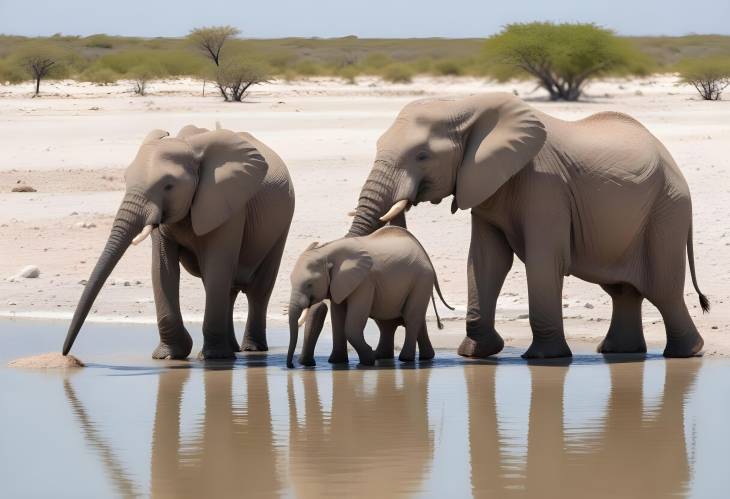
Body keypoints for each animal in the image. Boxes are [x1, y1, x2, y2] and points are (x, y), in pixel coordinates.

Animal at [60, 124, 292, 360]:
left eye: (169, 186)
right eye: (125, 180)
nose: (64, 353)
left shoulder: (227, 204)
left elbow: (216, 267)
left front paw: (212, 358)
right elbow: (162, 268)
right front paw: (169, 356)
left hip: (282, 223)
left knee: (257, 290)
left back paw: (250, 349)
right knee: (228, 289)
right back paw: (233, 349)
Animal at [286, 227, 450, 368]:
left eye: (309, 284)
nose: (291, 366)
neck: (327, 252)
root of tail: (424, 253)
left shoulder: (365, 282)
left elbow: (351, 325)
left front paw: (367, 361)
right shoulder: (339, 284)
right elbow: (337, 318)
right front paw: (337, 362)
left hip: (422, 279)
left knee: (411, 317)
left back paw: (405, 359)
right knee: (396, 321)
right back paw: (410, 357)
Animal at [346, 93, 704, 360]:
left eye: (422, 156)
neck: (466, 106)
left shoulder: (545, 186)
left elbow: (544, 260)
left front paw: (545, 358)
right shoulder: (484, 186)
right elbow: (486, 261)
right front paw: (474, 353)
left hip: (666, 212)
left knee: (663, 289)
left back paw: (686, 353)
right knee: (622, 291)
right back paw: (619, 352)